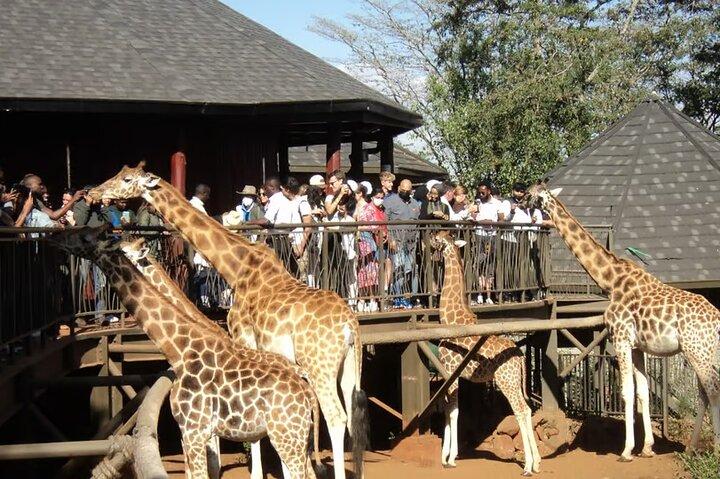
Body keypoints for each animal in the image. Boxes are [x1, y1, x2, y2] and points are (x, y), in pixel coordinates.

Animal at [49, 228, 318, 479]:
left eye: (85, 236)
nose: (56, 236)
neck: (179, 350)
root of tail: (307, 391)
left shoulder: (192, 430)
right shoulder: (201, 432)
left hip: (287, 436)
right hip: (293, 436)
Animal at [89, 163, 367, 479]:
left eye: (126, 179)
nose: (93, 193)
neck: (236, 267)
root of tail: (350, 324)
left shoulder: (243, 336)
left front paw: (256, 473)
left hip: (319, 365)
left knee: (335, 417)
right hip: (348, 366)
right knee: (350, 418)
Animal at [430, 230, 541, 475]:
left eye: (437, 238)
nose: (429, 240)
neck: (450, 318)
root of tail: (521, 357)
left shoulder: (450, 370)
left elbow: (453, 411)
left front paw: (450, 458)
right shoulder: (450, 374)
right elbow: (448, 409)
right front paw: (445, 456)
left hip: (506, 380)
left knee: (521, 410)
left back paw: (528, 466)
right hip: (514, 381)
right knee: (528, 409)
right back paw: (538, 462)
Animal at [528, 184, 720, 460]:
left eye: (532, 195)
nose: (520, 200)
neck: (611, 281)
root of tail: (716, 319)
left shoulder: (620, 338)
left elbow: (627, 392)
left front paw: (627, 450)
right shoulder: (638, 347)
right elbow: (643, 393)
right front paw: (647, 448)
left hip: (697, 350)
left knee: (712, 390)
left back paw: (715, 449)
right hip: (703, 351)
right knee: (704, 392)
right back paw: (691, 449)